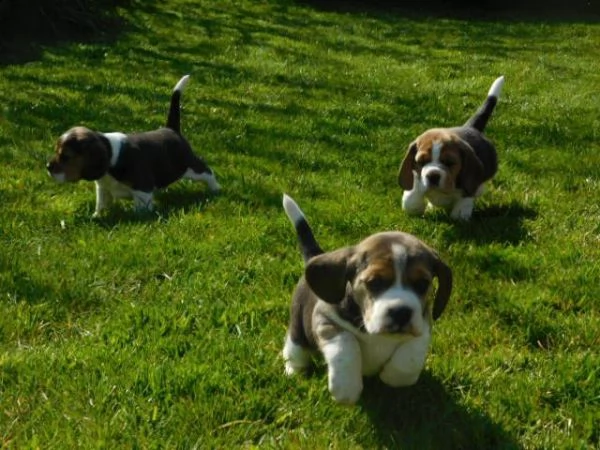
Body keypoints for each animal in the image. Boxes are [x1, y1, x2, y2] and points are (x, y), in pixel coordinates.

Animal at [46, 74, 220, 217]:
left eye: (66, 156)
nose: (47, 167)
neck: (112, 159)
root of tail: (171, 129)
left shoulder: (142, 191)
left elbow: (140, 211)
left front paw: (136, 218)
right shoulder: (103, 190)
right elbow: (101, 205)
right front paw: (95, 217)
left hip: (190, 167)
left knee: (208, 172)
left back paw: (216, 189)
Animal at [282, 195, 450, 406]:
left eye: (422, 284)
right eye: (374, 282)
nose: (401, 313)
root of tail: (316, 256)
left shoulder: (424, 324)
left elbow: (410, 357)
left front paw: (393, 376)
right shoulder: (324, 319)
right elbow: (346, 346)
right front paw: (346, 388)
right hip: (298, 328)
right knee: (294, 349)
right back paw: (294, 371)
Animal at [398, 76, 506, 221]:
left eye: (449, 162)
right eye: (421, 162)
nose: (433, 175)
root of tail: (470, 127)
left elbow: (464, 202)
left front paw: (460, 213)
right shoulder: (416, 178)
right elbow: (411, 200)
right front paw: (415, 205)